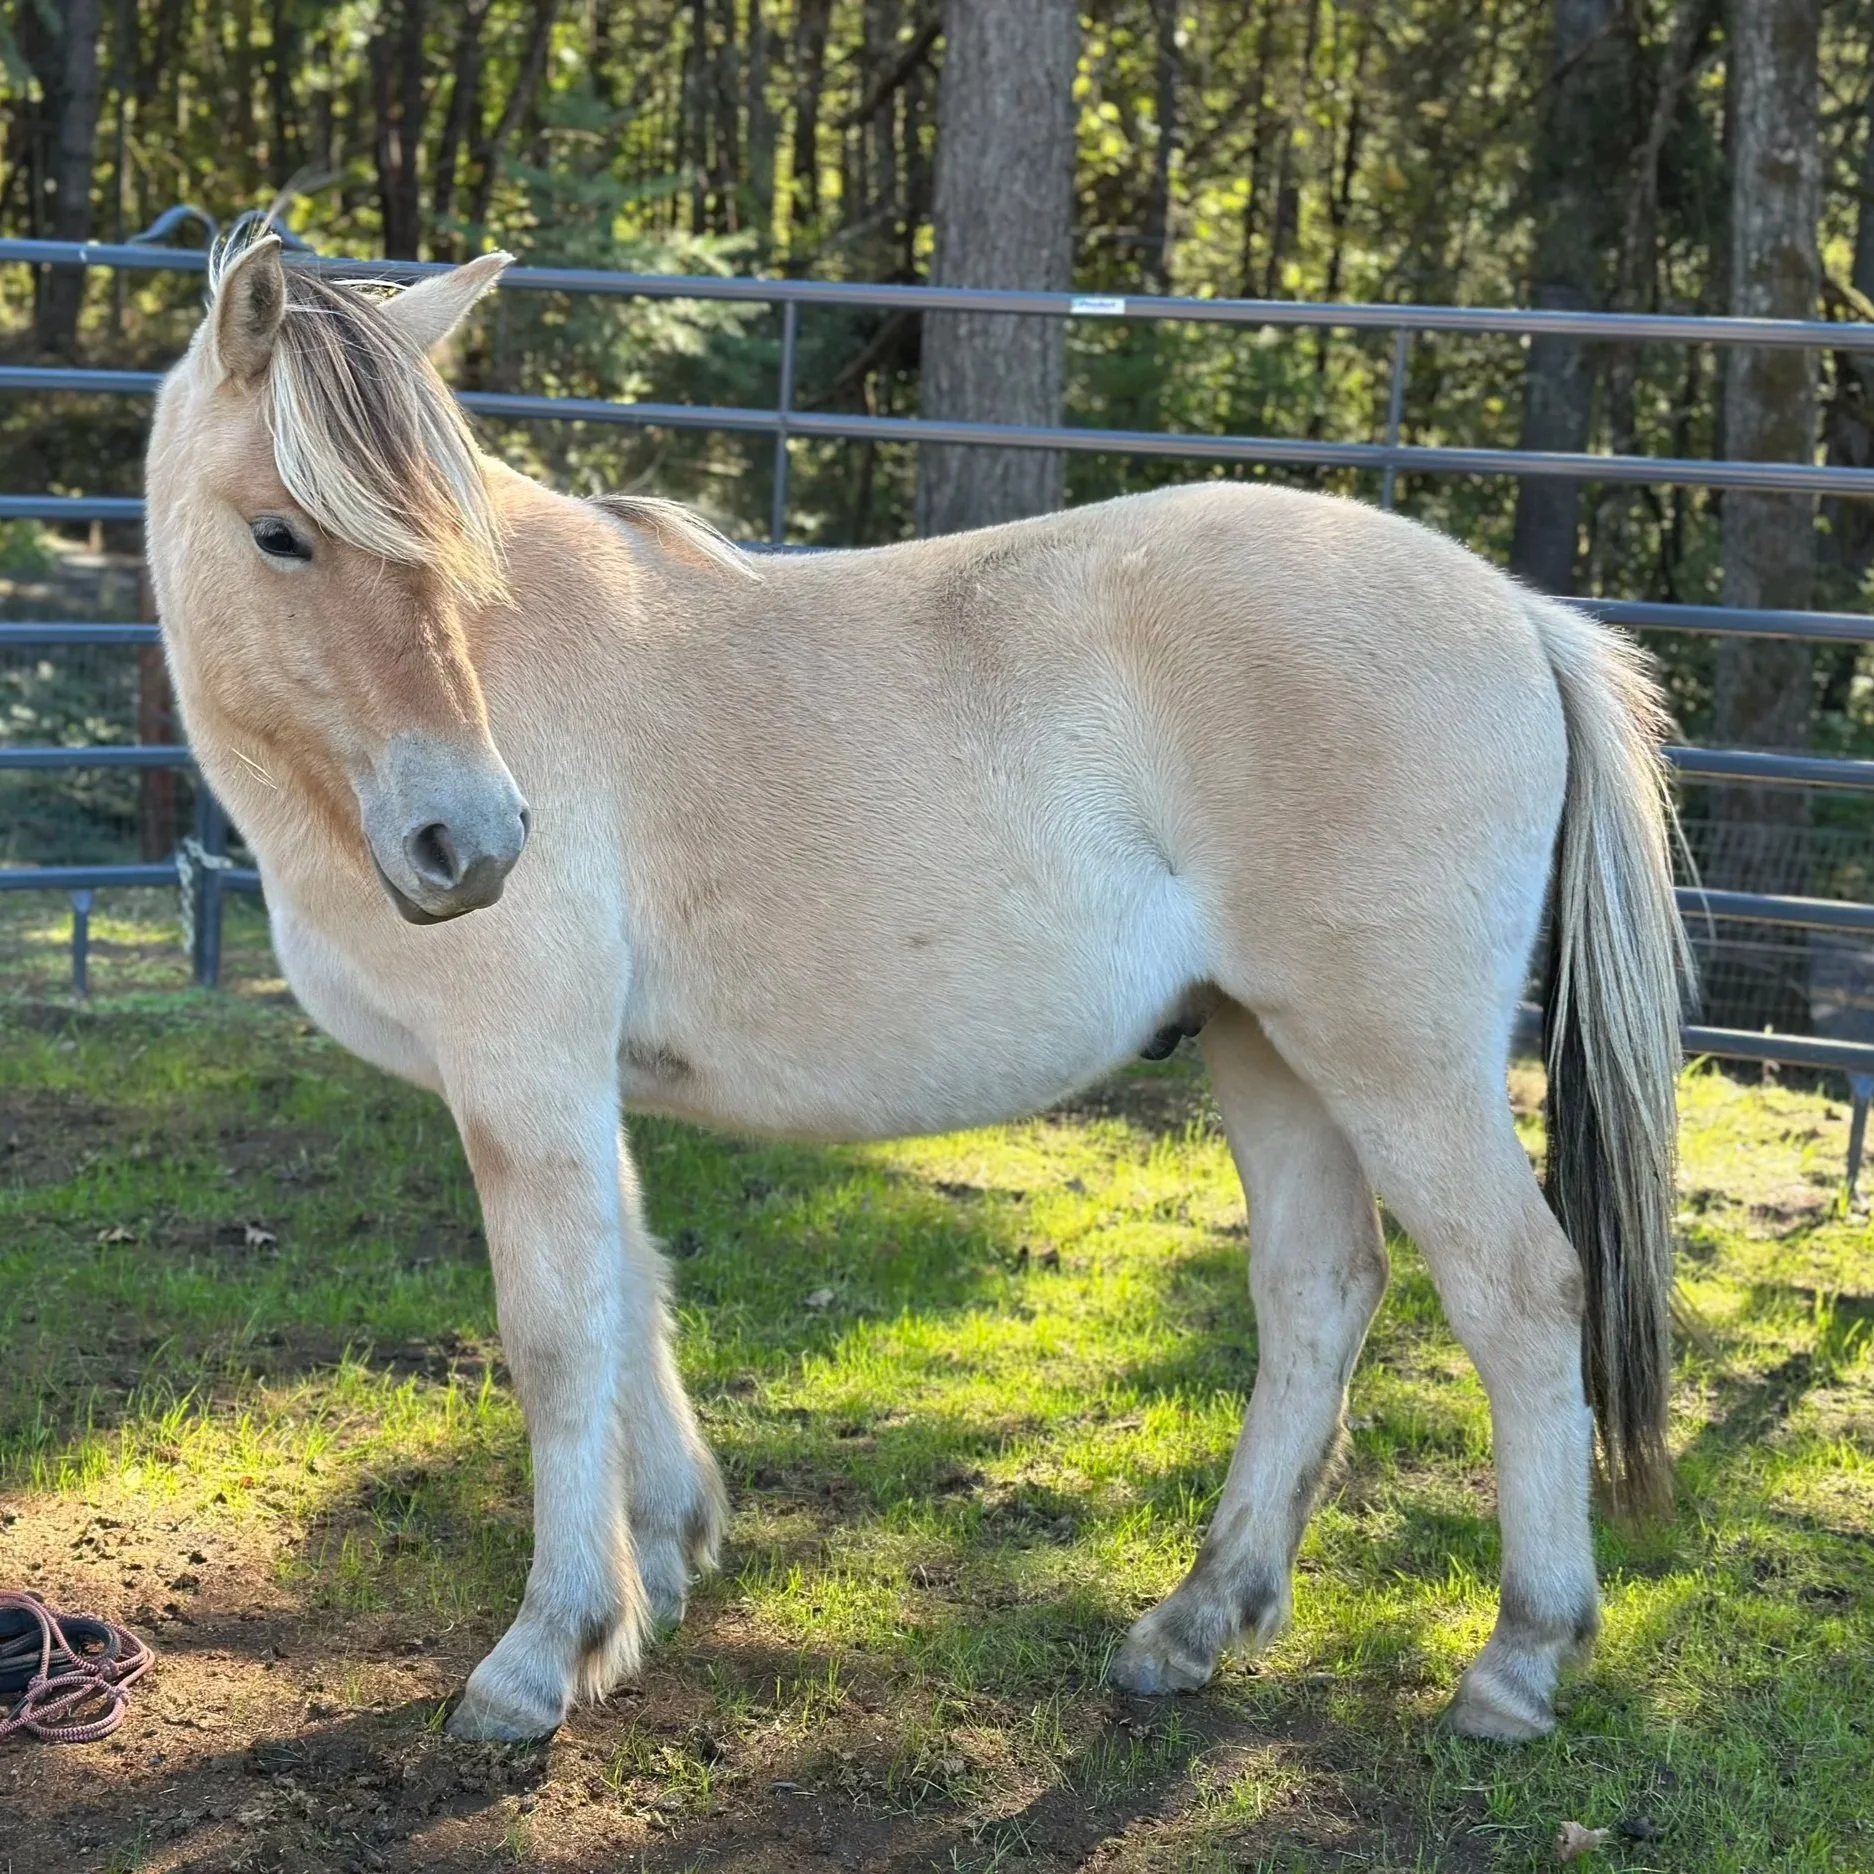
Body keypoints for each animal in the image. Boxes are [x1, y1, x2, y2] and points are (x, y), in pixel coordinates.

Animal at [143, 232, 1689, 1744]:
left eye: (450, 556)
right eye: (278, 533)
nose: (470, 841)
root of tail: (1517, 613)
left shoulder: (523, 1078)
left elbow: (558, 1334)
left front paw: (547, 1649)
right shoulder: (583, 1091)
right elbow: (632, 1292)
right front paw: (665, 1561)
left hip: (1391, 1057)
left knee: (1516, 1291)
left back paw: (1517, 1658)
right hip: (1268, 1048)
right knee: (1316, 1291)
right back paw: (1195, 1623)